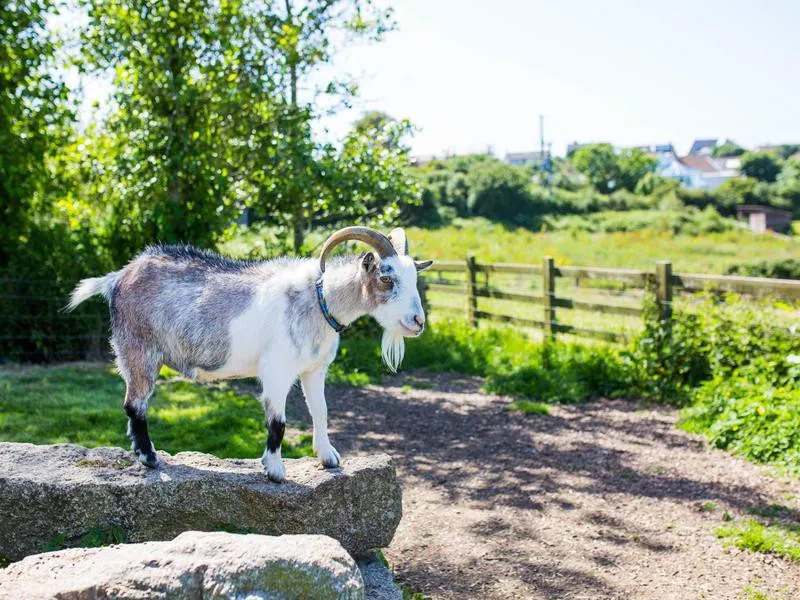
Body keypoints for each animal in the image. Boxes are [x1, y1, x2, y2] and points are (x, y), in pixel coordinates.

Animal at [67, 226, 432, 482]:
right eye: (386, 278)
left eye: (414, 277)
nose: (418, 321)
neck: (318, 299)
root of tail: (117, 278)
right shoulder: (277, 370)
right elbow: (279, 422)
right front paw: (275, 470)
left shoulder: (314, 369)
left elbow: (321, 411)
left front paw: (328, 457)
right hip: (137, 350)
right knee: (135, 404)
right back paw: (150, 458)